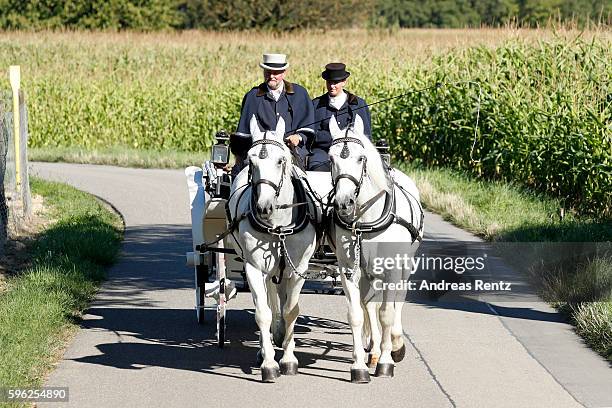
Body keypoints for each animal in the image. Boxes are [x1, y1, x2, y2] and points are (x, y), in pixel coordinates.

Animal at [227, 115, 318, 382]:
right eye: (251, 160)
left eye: (280, 160)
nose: (263, 207)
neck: (277, 224)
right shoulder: (254, 267)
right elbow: (263, 312)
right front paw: (269, 363)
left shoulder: (298, 267)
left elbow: (290, 310)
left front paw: (289, 359)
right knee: (268, 298)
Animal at [328, 114, 424, 382]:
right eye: (331, 158)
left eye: (361, 158)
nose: (344, 202)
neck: (366, 219)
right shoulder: (350, 270)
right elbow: (357, 314)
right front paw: (360, 365)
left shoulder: (391, 269)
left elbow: (387, 313)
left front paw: (386, 361)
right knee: (369, 302)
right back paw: (374, 349)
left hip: (405, 264)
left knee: (398, 298)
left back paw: (395, 343)